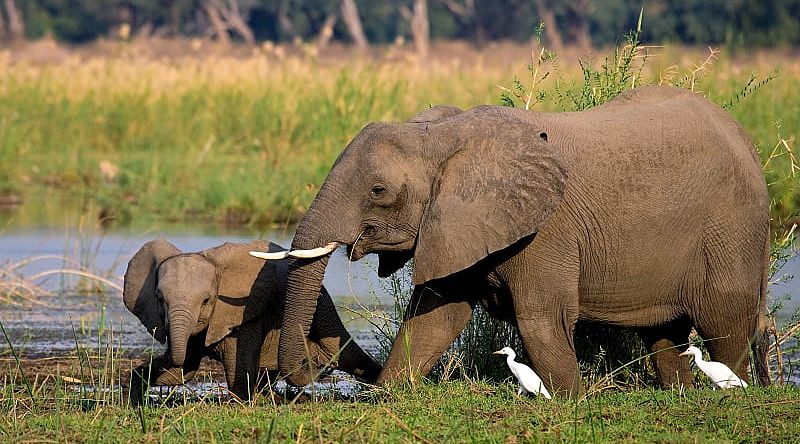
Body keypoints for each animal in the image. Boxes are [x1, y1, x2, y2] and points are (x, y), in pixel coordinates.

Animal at [123, 238, 380, 404]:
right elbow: (182, 371)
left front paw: (240, 403)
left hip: (323, 305)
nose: (321, 367)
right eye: (159, 299)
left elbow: (235, 369)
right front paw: (135, 400)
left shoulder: (244, 314)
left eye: (206, 301)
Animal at [255, 86, 768, 396]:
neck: (443, 136)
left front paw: (569, 402)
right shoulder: (457, 224)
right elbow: (433, 318)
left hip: (731, 227)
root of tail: (748, 142)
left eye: (378, 191)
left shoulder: (546, 231)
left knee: (725, 322)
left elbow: (541, 320)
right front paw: (387, 396)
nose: (308, 374)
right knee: (665, 334)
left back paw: (734, 392)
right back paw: (679, 393)